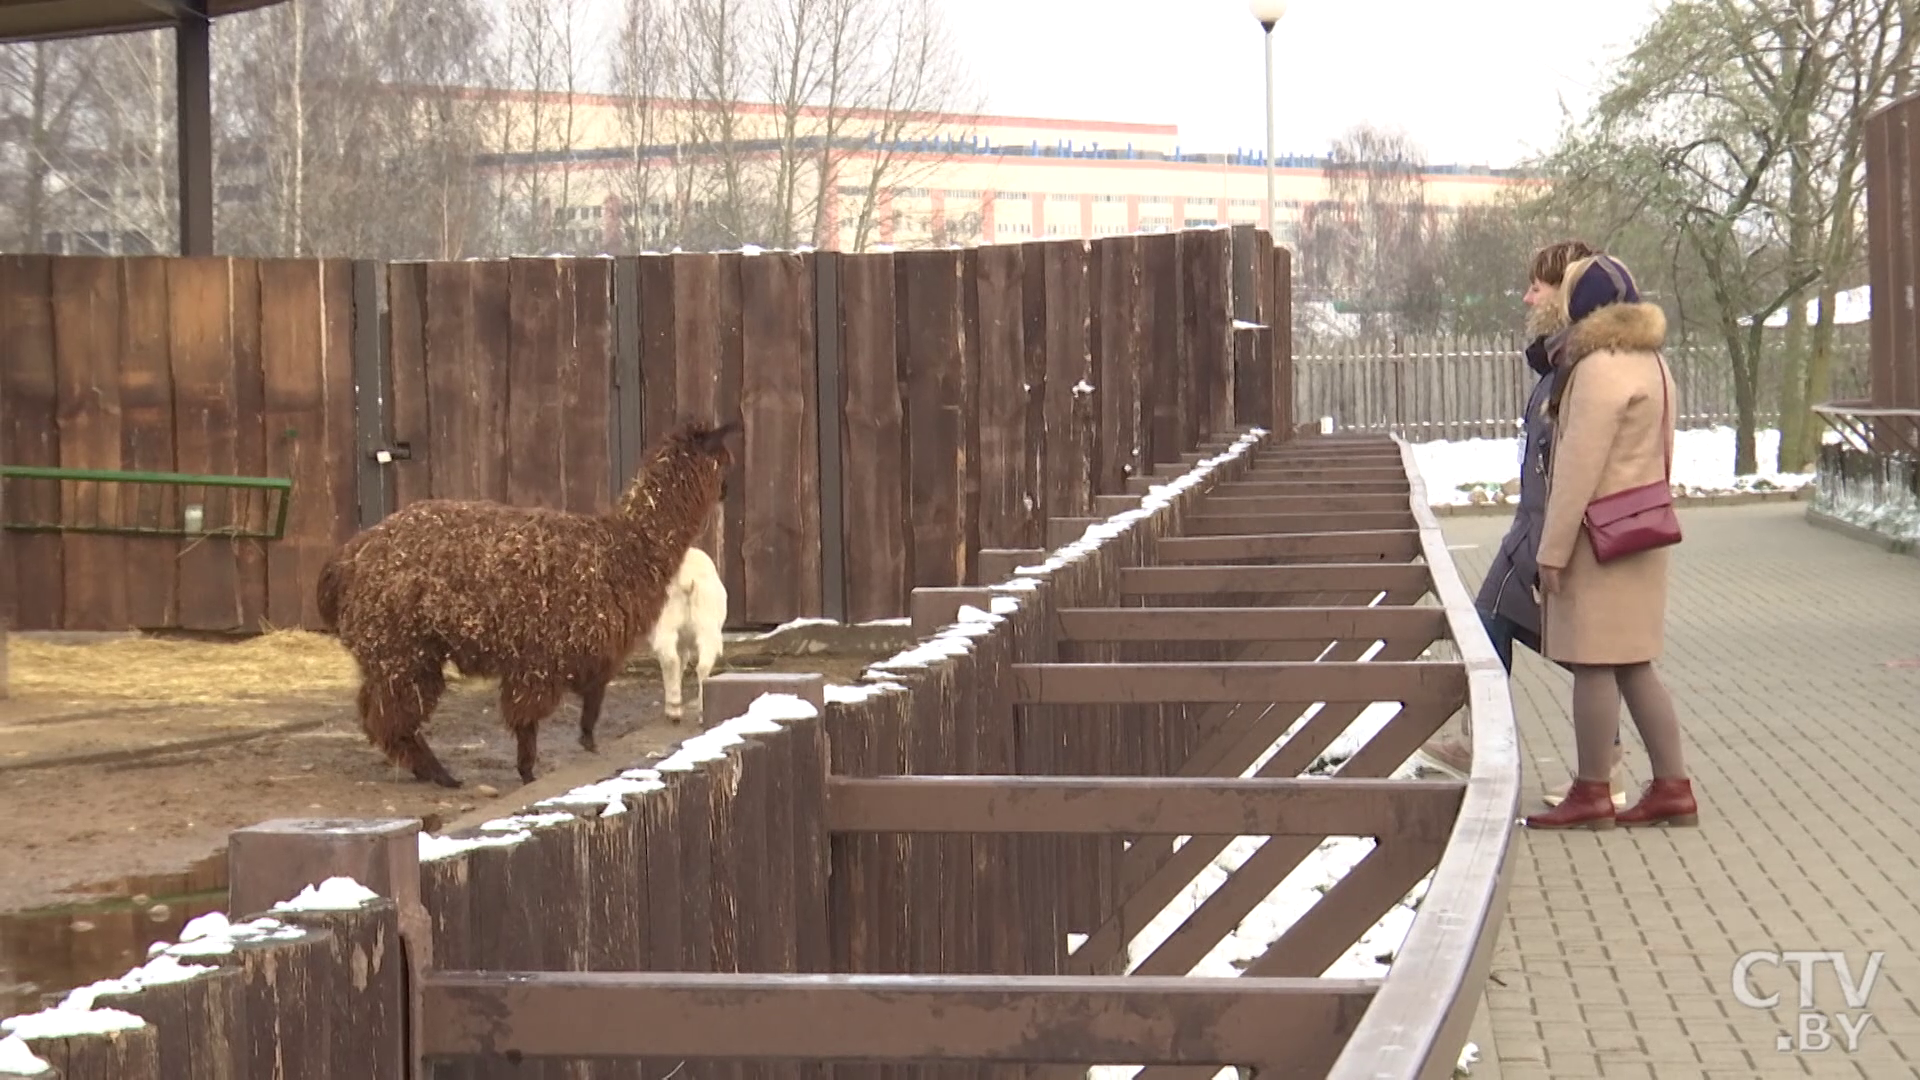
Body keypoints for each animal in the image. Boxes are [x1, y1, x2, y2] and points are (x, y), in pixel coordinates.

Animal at [652, 541, 725, 718]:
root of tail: (686, 578)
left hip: (666, 622)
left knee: (670, 660)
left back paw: (673, 709)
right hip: (706, 622)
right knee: (703, 664)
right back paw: (700, 708)